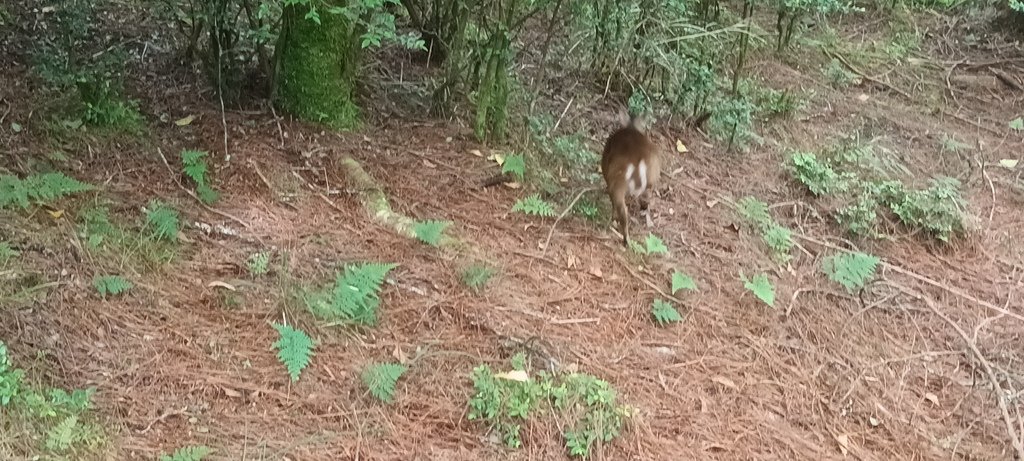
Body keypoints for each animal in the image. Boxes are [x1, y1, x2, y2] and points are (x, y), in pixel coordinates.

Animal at [598, 110, 663, 246]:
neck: (631, 127)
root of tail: (640, 160)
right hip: (652, 178)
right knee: (645, 199)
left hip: (618, 182)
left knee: (622, 210)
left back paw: (624, 237)